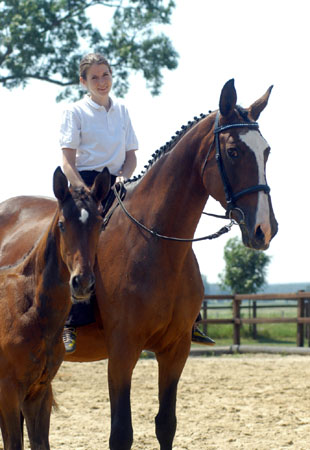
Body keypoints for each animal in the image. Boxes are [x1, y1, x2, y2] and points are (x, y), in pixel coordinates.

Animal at [0, 167, 110, 450]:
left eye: (99, 222)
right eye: (62, 223)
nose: (82, 282)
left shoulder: (38, 393)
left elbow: (40, 444)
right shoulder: (8, 392)